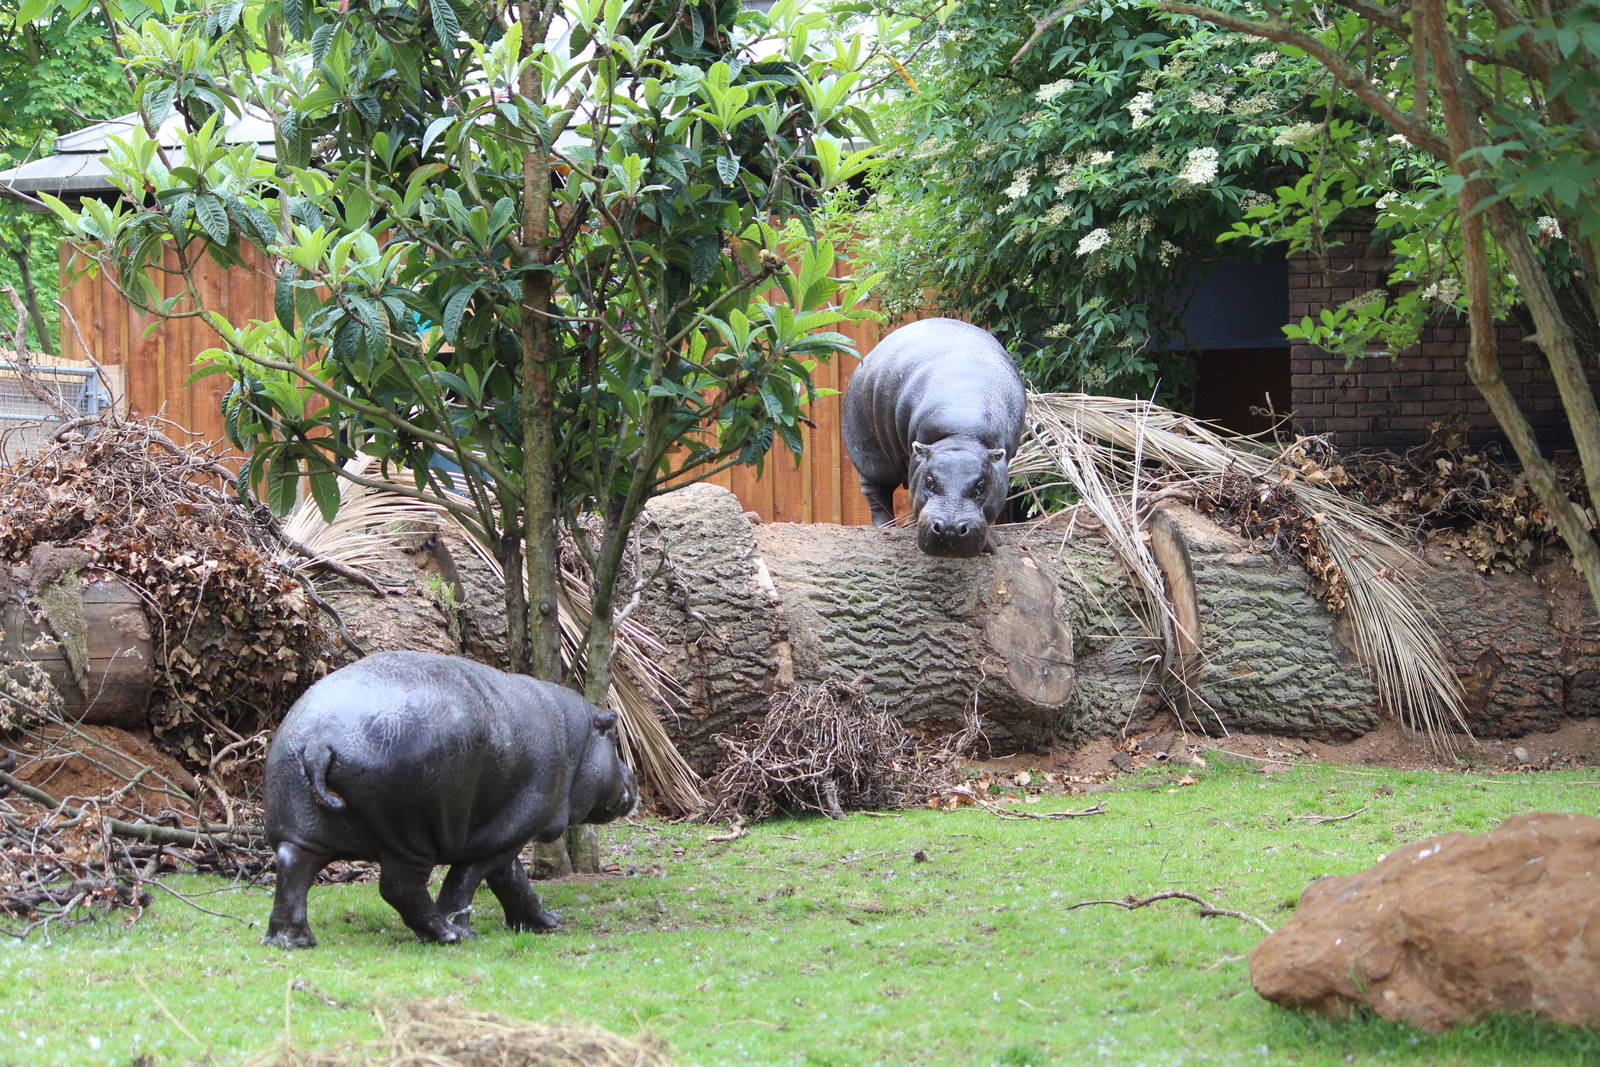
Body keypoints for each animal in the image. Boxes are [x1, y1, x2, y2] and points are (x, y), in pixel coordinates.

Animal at [261, 651, 638, 949]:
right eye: (613, 737)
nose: (632, 778)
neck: (574, 737)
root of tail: (318, 741)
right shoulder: (507, 833)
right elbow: (469, 880)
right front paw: (465, 930)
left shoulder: (504, 834)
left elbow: (514, 882)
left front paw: (547, 922)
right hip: (407, 836)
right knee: (399, 887)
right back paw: (445, 935)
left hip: (302, 825)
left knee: (293, 869)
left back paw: (291, 942)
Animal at [842, 318, 1027, 557]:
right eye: (929, 480)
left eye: (981, 484)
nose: (950, 529)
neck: (961, 434)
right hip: (869, 452)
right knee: (877, 492)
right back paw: (885, 528)